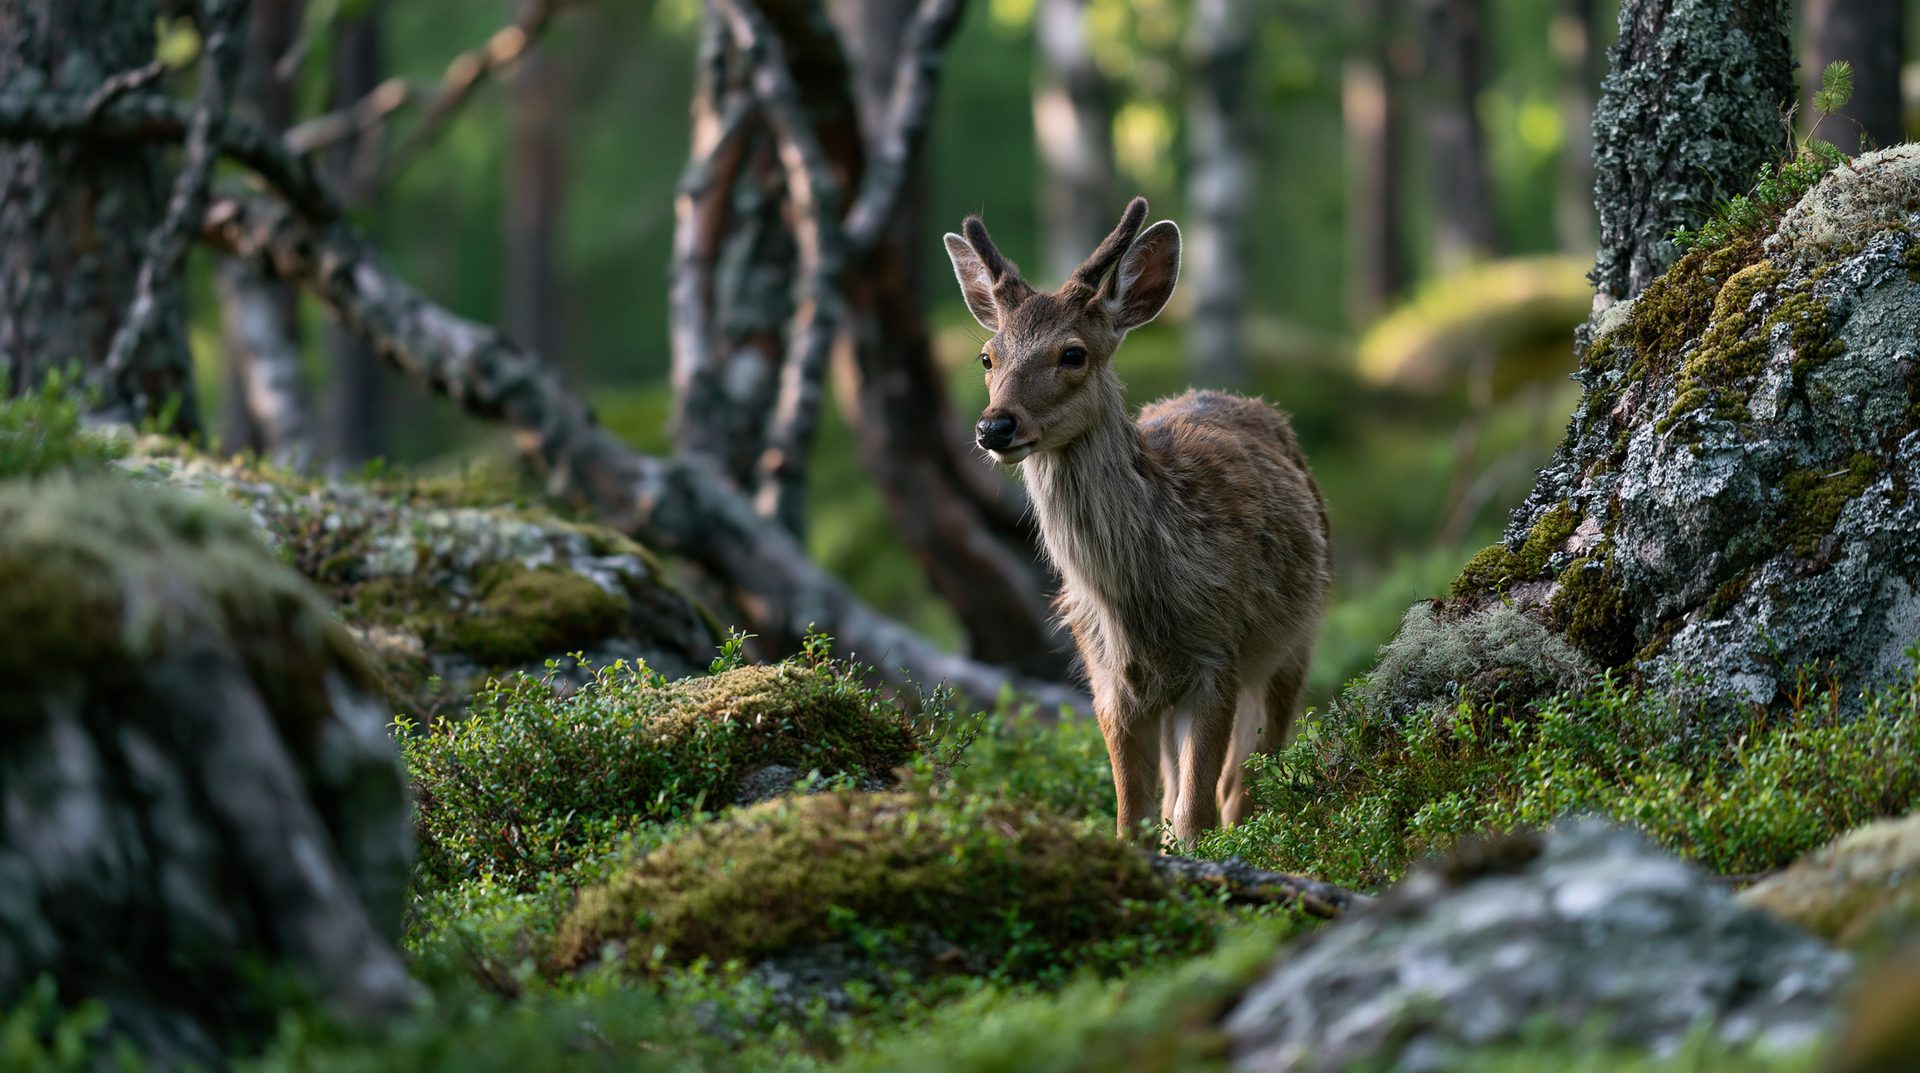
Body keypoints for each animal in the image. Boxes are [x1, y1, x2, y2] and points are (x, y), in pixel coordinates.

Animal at [944, 196, 1331, 846]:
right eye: (987, 356)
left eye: (1073, 353)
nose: (994, 426)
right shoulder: (1107, 678)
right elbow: (1136, 817)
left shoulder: (1217, 657)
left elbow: (1196, 813)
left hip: (1294, 641)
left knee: (1249, 777)